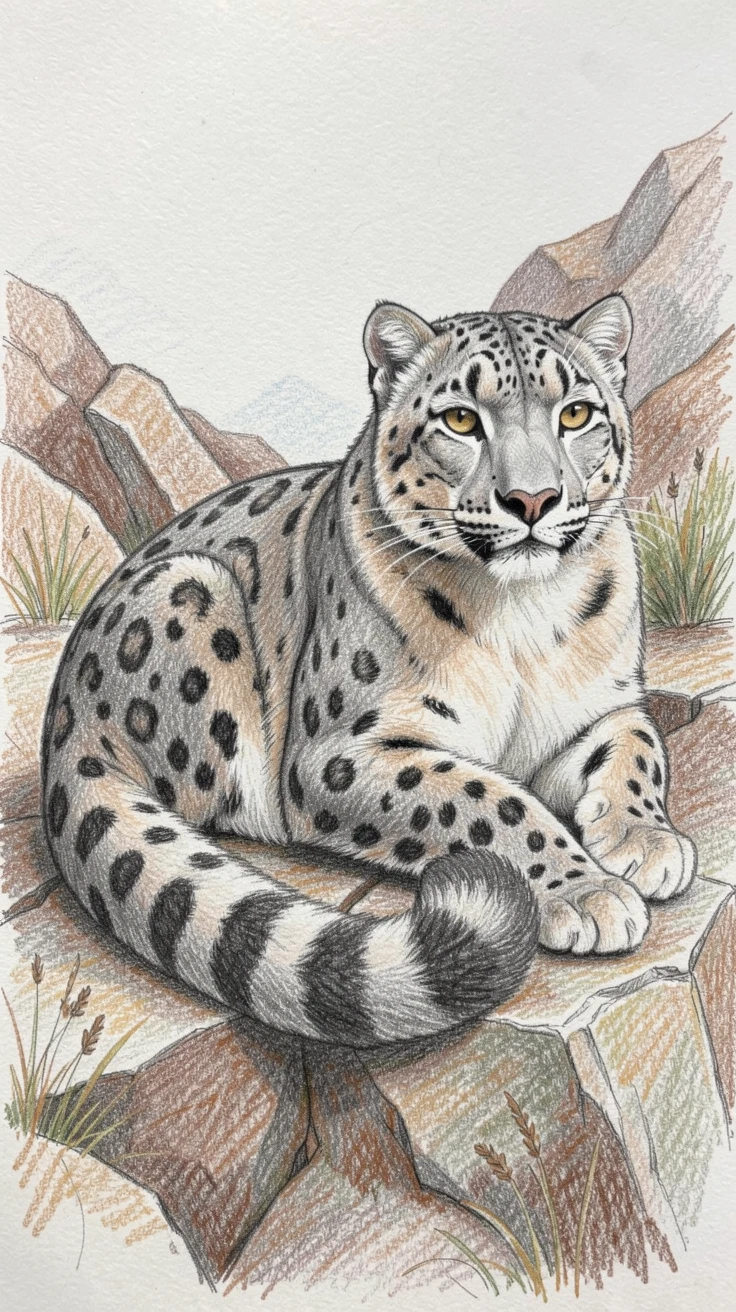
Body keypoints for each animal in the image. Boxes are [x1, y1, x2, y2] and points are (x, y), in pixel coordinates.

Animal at [40, 294, 696, 1046]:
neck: (522, 616)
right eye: (461, 419)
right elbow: (488, 797)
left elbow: (639, 747)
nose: (533, 500)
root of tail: (66, 711)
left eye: (577, 413)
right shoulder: (339, 752)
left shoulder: (598, 708)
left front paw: (649, 840)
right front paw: (587, 891)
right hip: (192, 592)